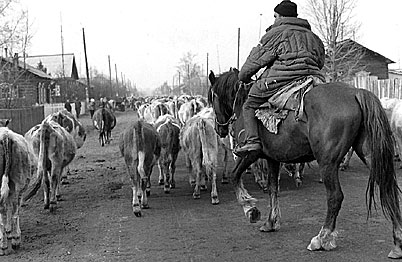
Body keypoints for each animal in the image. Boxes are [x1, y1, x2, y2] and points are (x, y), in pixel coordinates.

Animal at [207, 68, 402, 258]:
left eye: (212, 97)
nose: (219, 128)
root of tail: (355, 92)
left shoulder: (249, 154)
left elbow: (235, 176)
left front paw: (251, 210)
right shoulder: (273, 158)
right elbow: (272, 188)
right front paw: (270, 222)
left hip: (328, 163)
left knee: (335, 197)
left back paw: (322, 238)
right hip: (369, 154)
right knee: (387, 188)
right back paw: (397, 242)